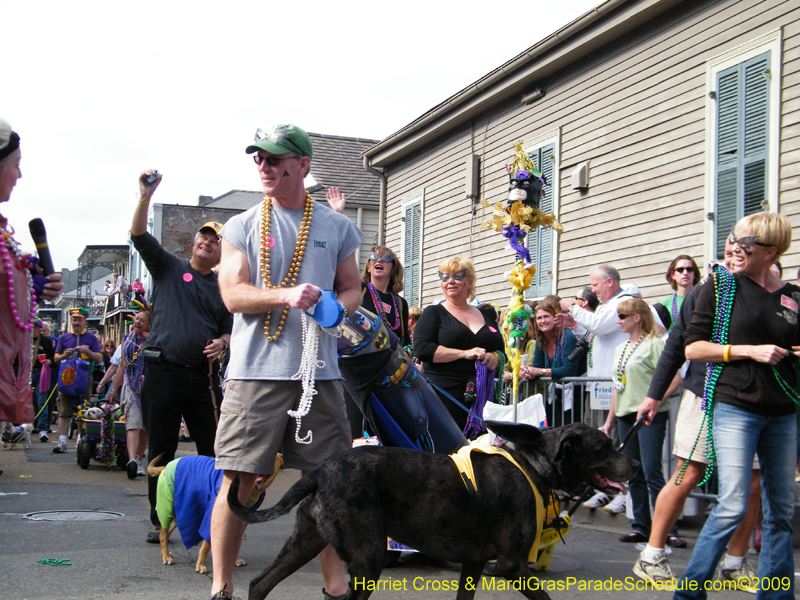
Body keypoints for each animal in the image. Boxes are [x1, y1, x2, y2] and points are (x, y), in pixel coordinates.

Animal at [148, 452, 282, 576]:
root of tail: (167, 465)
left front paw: (234, 560)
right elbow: (206, 545)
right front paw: (201, 565)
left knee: (167, 533)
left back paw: (166, 553)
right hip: (168, 508)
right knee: (162, 535)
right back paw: (166, 556)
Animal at [227, 422, 636, 600]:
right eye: (604, 447)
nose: (633, 465)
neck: (533, 466)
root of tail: (320, 471)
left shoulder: (474, 565)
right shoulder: (512, 566)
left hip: (306, 542)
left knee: (259, 584)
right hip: (367, 559)